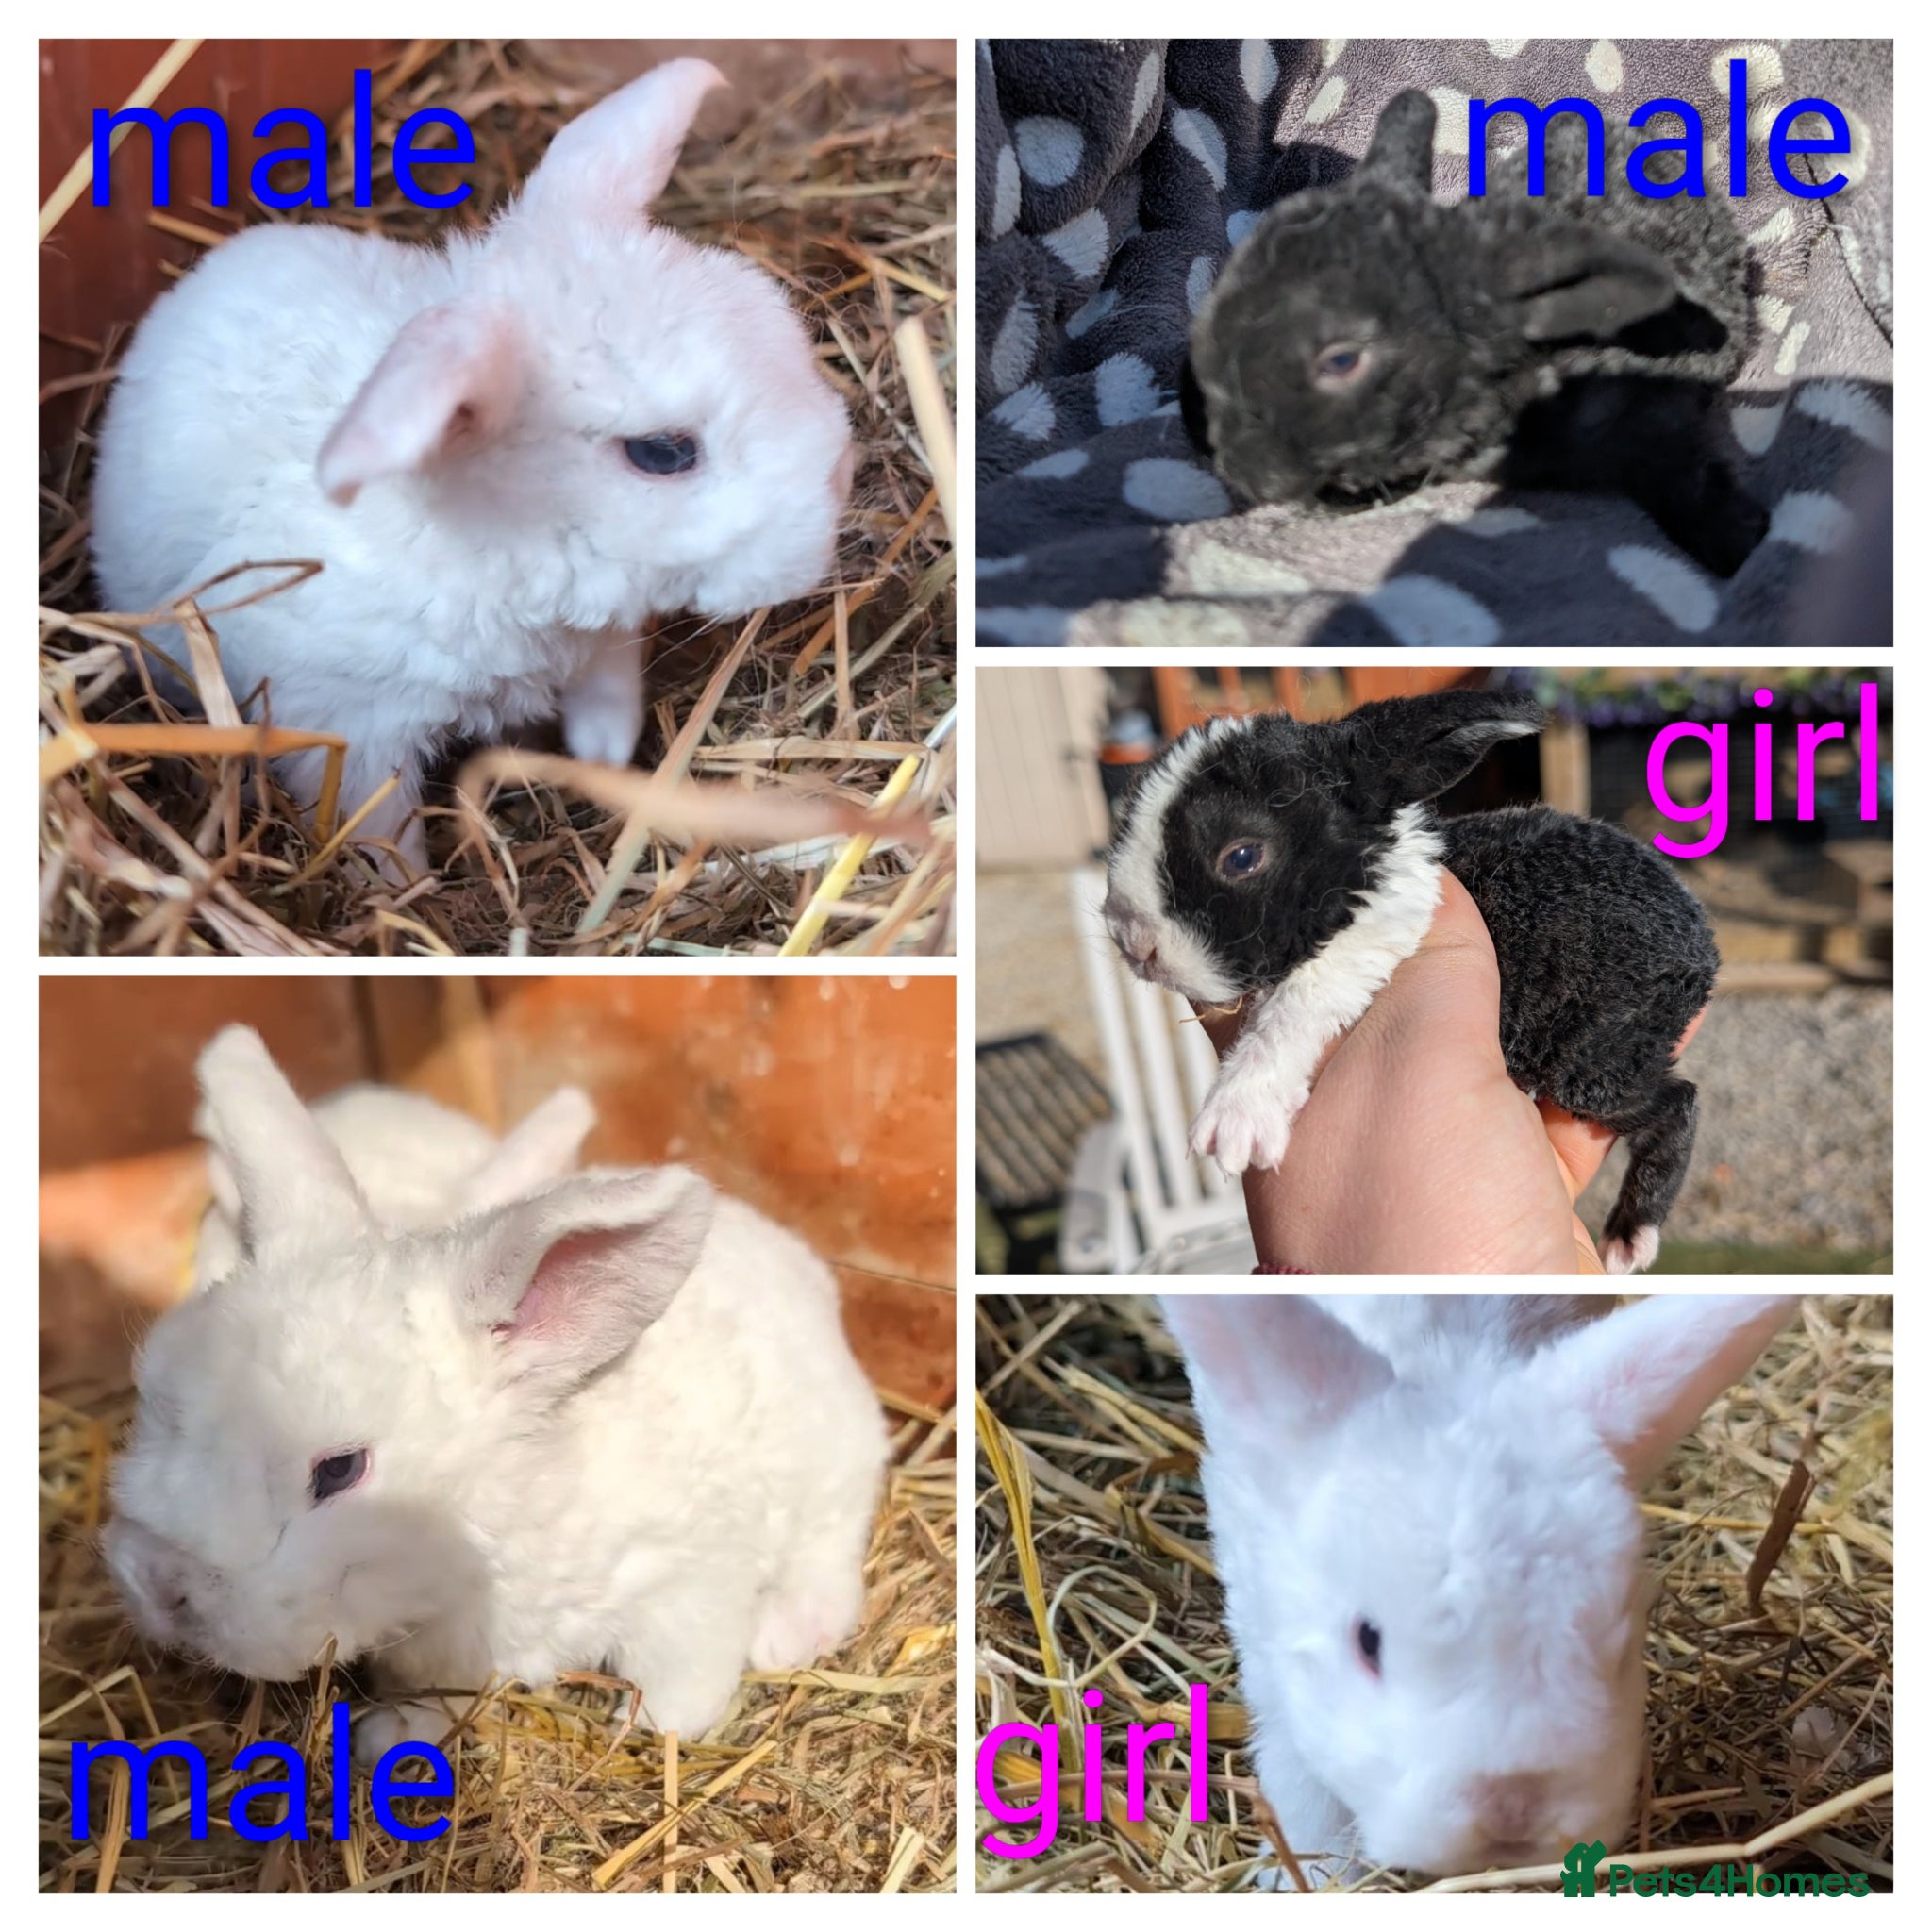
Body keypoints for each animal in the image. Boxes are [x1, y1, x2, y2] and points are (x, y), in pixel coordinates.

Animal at [90, 59, 855, 874]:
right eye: (662, 451)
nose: (840, 472)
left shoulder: (600, 643)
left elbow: (607, 695)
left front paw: (605, 758)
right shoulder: (348, 727)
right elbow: (377, 831)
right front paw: (408, 887)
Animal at [1101, 689, 1719, 1273]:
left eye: (1242, 856)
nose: (1133, 942)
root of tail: (1702, 944)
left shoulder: (1362, 953)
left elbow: (1292, 1013)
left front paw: (1234, 1118)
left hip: (1591, 1065)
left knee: (1678, 1101)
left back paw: (1631, 1237)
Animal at [1160, 1292, 1800, 1884]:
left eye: (1619, 1649)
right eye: (1367, 1642)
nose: (1513, 1812)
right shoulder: (1269, 1662)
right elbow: (1301, 1786)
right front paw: (1319, 1876)